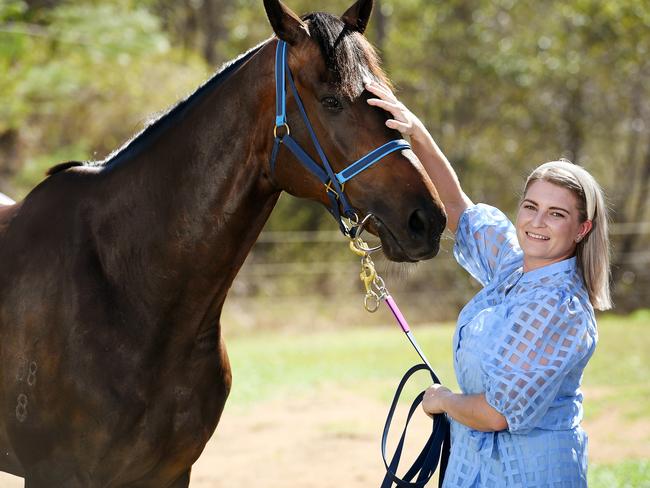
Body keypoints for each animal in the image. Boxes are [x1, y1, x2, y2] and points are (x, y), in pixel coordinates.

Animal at [0, 1, 446, 486]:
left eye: (386, 98)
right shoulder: (54, 474)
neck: (125, 288)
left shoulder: (170, 473)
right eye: (332, 101)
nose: (428, 220)